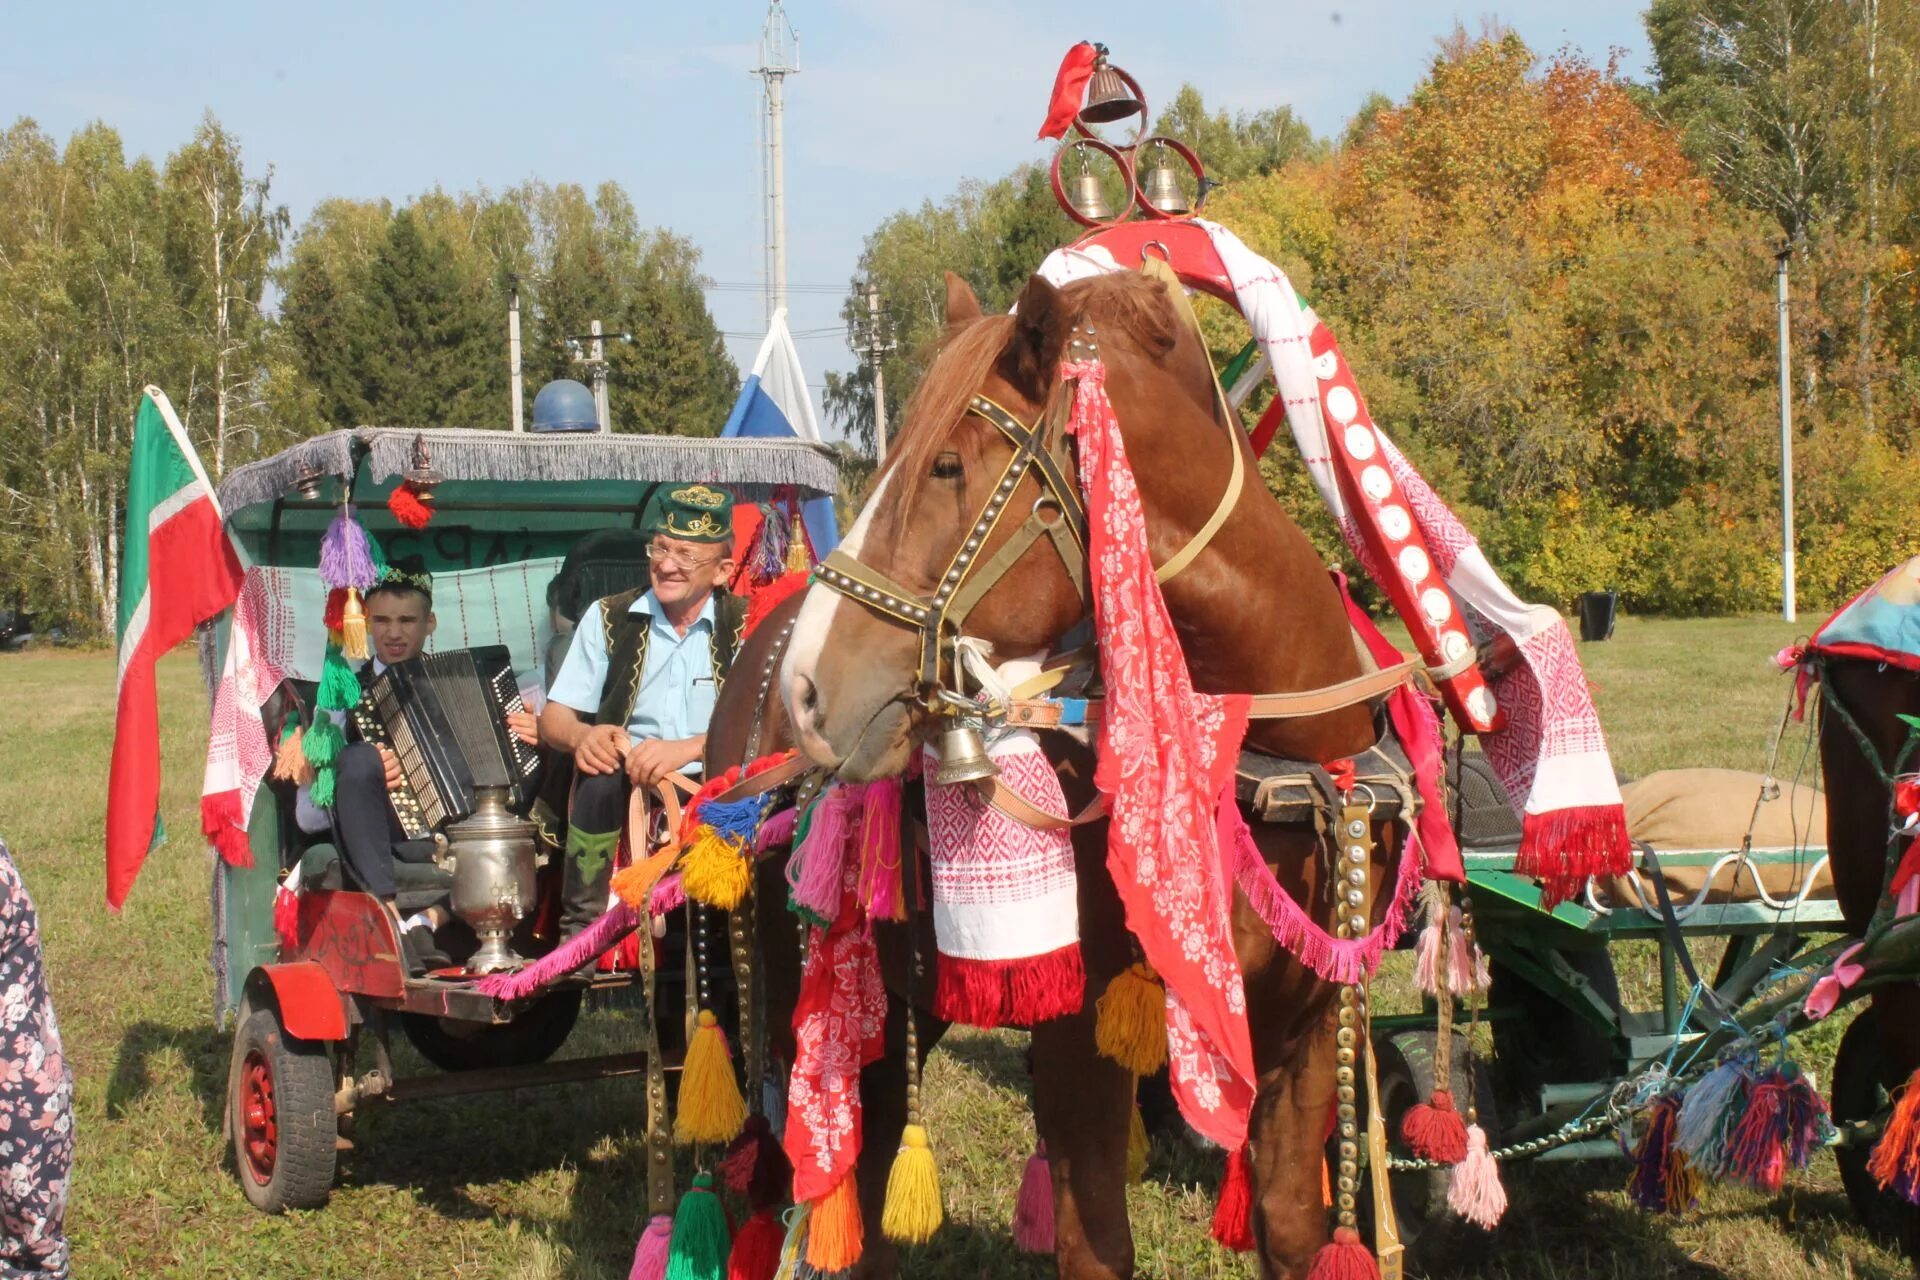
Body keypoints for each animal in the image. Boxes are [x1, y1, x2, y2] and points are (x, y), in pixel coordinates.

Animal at [775, 270, 1397, 1280]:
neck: (1274, 761)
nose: (806, 689)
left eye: (946, 466)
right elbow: (1095, 1243)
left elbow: (1296, 1227)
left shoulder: (1307, 1037)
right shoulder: (1078, 1048)